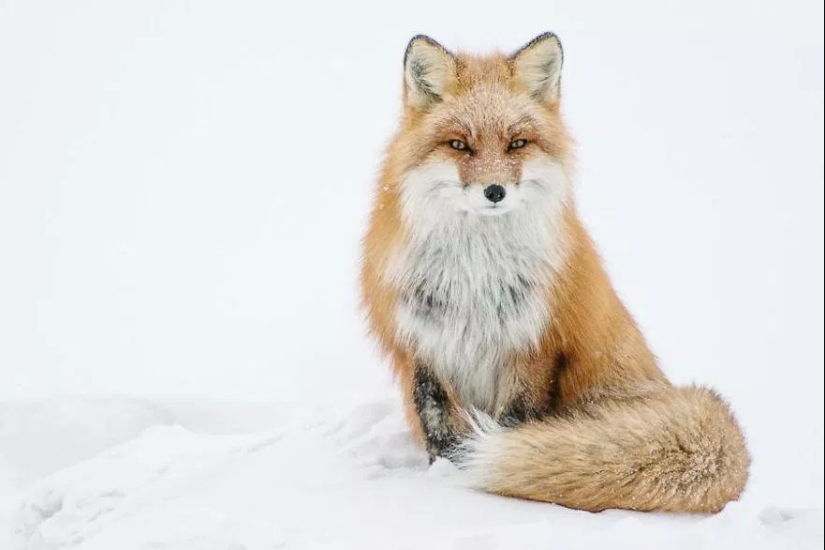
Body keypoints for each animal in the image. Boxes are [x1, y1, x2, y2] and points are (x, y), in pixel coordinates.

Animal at [358, 32, 748, 516]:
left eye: (517, 143)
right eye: (459, 145)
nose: (494, 191)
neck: (476, 275)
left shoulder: (535, 344)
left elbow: (515, 422)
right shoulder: (422, 341)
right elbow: (437, 421)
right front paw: (443, 474)